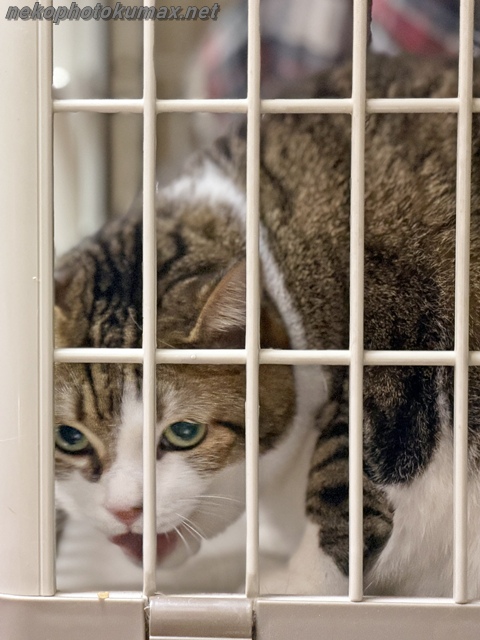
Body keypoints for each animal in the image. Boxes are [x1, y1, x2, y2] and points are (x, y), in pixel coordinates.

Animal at [54, 53, 480, 597]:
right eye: (70, 438)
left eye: (185, 432)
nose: (125, 511)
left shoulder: (398, 361)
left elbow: (342, 484)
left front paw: (292, 583)